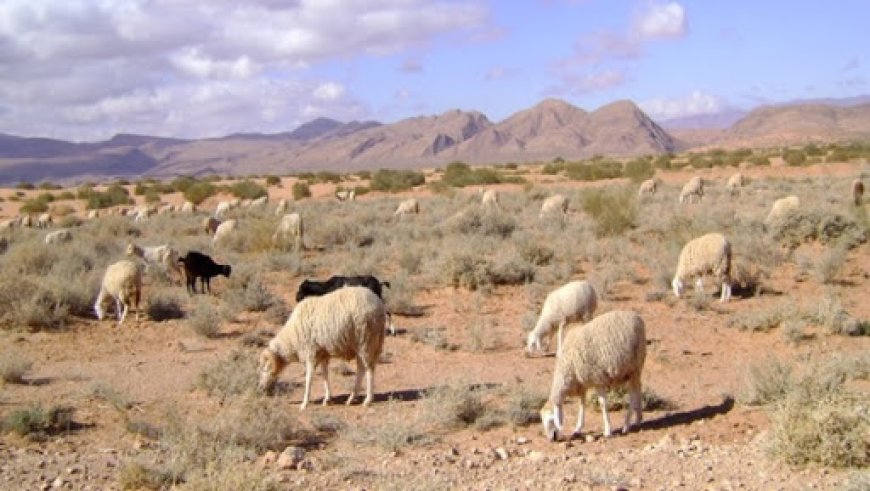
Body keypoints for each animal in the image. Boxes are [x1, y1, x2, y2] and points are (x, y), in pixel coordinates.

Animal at [255, 286, 384, 410]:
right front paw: (327, 398)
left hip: (366, 341)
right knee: (361, 368)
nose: (260, 387)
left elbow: (309, 378)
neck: (292, 338)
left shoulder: (311, 353)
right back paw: (351, 398)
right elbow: (324, 375)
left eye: (265, 368)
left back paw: (367, 400)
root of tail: (378, 303)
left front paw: (304, 403)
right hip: (362, 346)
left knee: (369, 369)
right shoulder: (322, 353)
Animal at [540, 312, 652, 442]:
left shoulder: (598, 379)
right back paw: (638, 419)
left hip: (634, 366)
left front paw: (608, 431)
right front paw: (578, 428)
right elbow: (582, 404)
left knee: (633, 395)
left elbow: (602, 404)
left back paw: (626, 426)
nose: (551, 439)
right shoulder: (583, 383)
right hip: (632, 371)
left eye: (551, 419)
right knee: (638, 390)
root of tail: (637, 316)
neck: (568, 365)